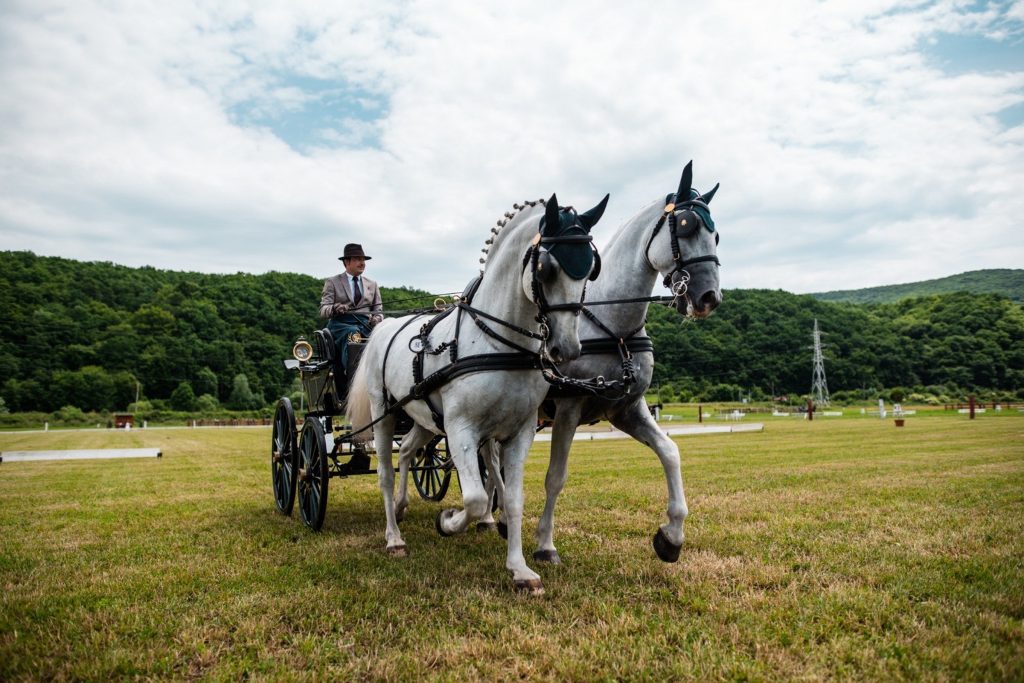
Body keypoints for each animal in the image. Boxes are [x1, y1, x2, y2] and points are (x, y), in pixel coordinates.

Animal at [350, 191, 606, 593]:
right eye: (546, 268)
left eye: (591, 269)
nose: (567, 348)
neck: (498, 342)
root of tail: (381, 326)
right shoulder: (461, 430)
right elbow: (473, 498)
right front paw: (448, 521)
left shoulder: (518, 432)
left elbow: (512, 498)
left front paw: (520, 568)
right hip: (385, 411)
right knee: (386, 474)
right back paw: (394, 537)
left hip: (423, 417)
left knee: (407, 451)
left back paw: (404, 505)